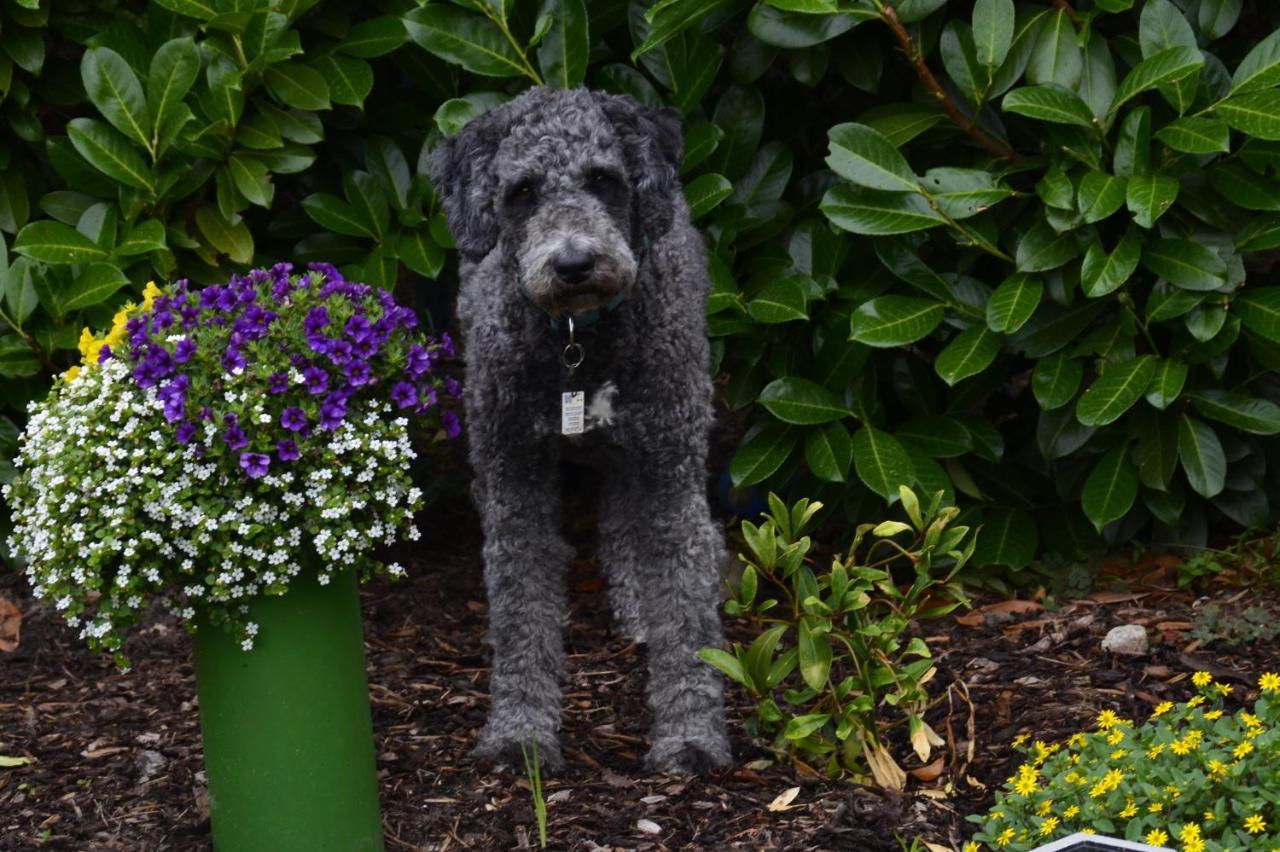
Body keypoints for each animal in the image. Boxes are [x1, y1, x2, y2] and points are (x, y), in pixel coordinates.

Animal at [430, 86, 732, 767]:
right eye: (521, 192)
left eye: (602, 180)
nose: (574, 262)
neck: (579, 341)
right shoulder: (513, 482)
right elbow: (520, 609)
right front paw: (519, 731)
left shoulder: (671, 473)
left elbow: (686, 610)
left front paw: (691, 734)